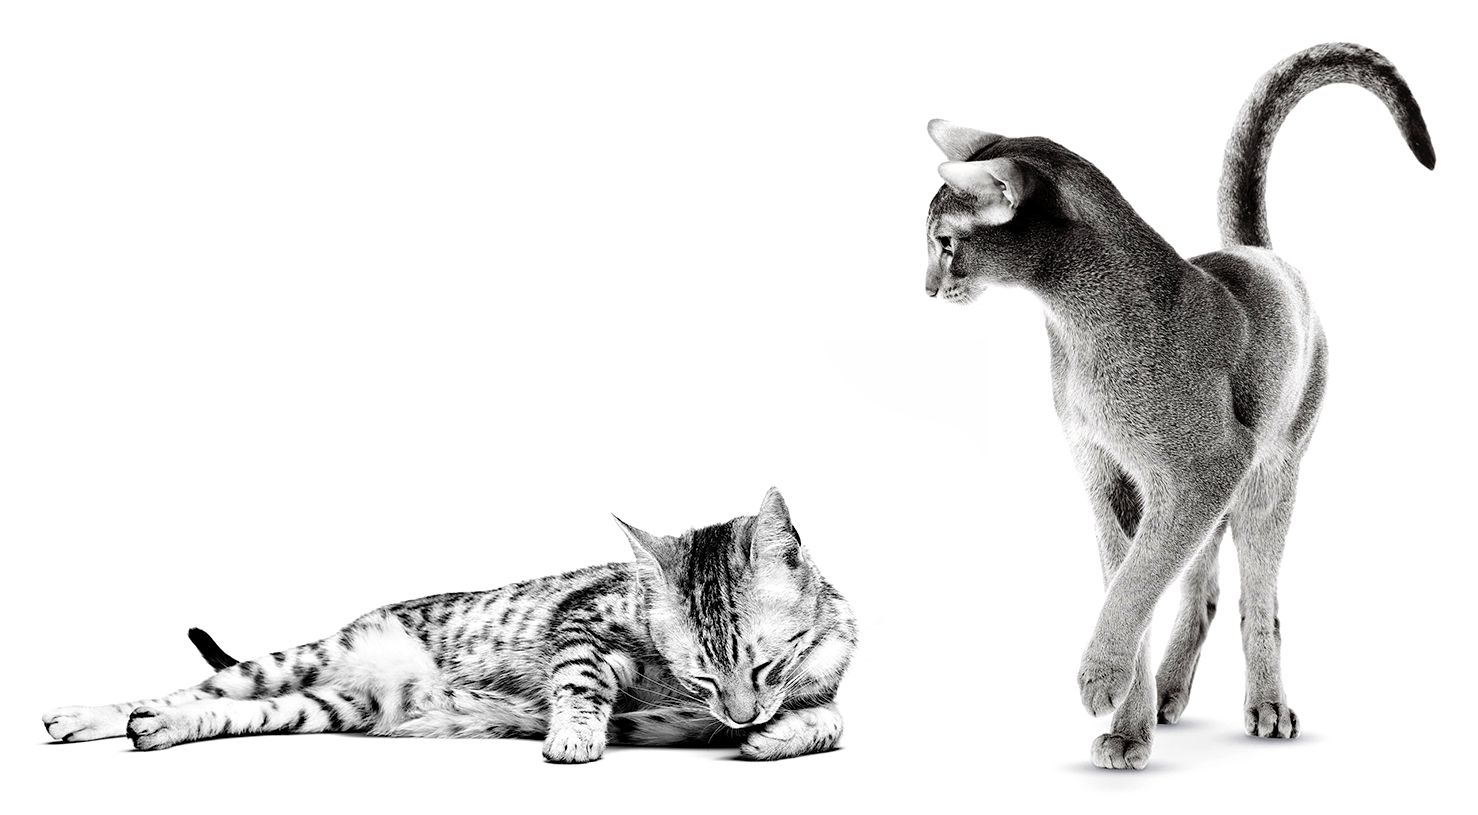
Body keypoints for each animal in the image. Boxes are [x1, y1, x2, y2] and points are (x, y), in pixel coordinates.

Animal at [43, 488, 857, 763]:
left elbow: (833, 719)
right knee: (190, 686)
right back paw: (86, 715)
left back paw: (157, 728)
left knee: (229, 710)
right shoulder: (581, 621)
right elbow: (580, 679)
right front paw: (574, 734)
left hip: (333, 705)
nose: (740, 715)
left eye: (765, 664)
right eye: (699, 674)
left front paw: (777, 735)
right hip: (299, 659)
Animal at [922, 43, 1430, 769]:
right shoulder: (1108, 476)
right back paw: (1166, 694)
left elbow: (1136, 582)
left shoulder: (1204, 466)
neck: (1080, 327)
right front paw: (1129, 725)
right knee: (1203, 586)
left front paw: (1099, 676)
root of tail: (1261, 253)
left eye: (945, 243)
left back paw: (1267, 705)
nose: (927, 287)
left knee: (1259, 601)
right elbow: (1129, 578)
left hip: (1269, 477)